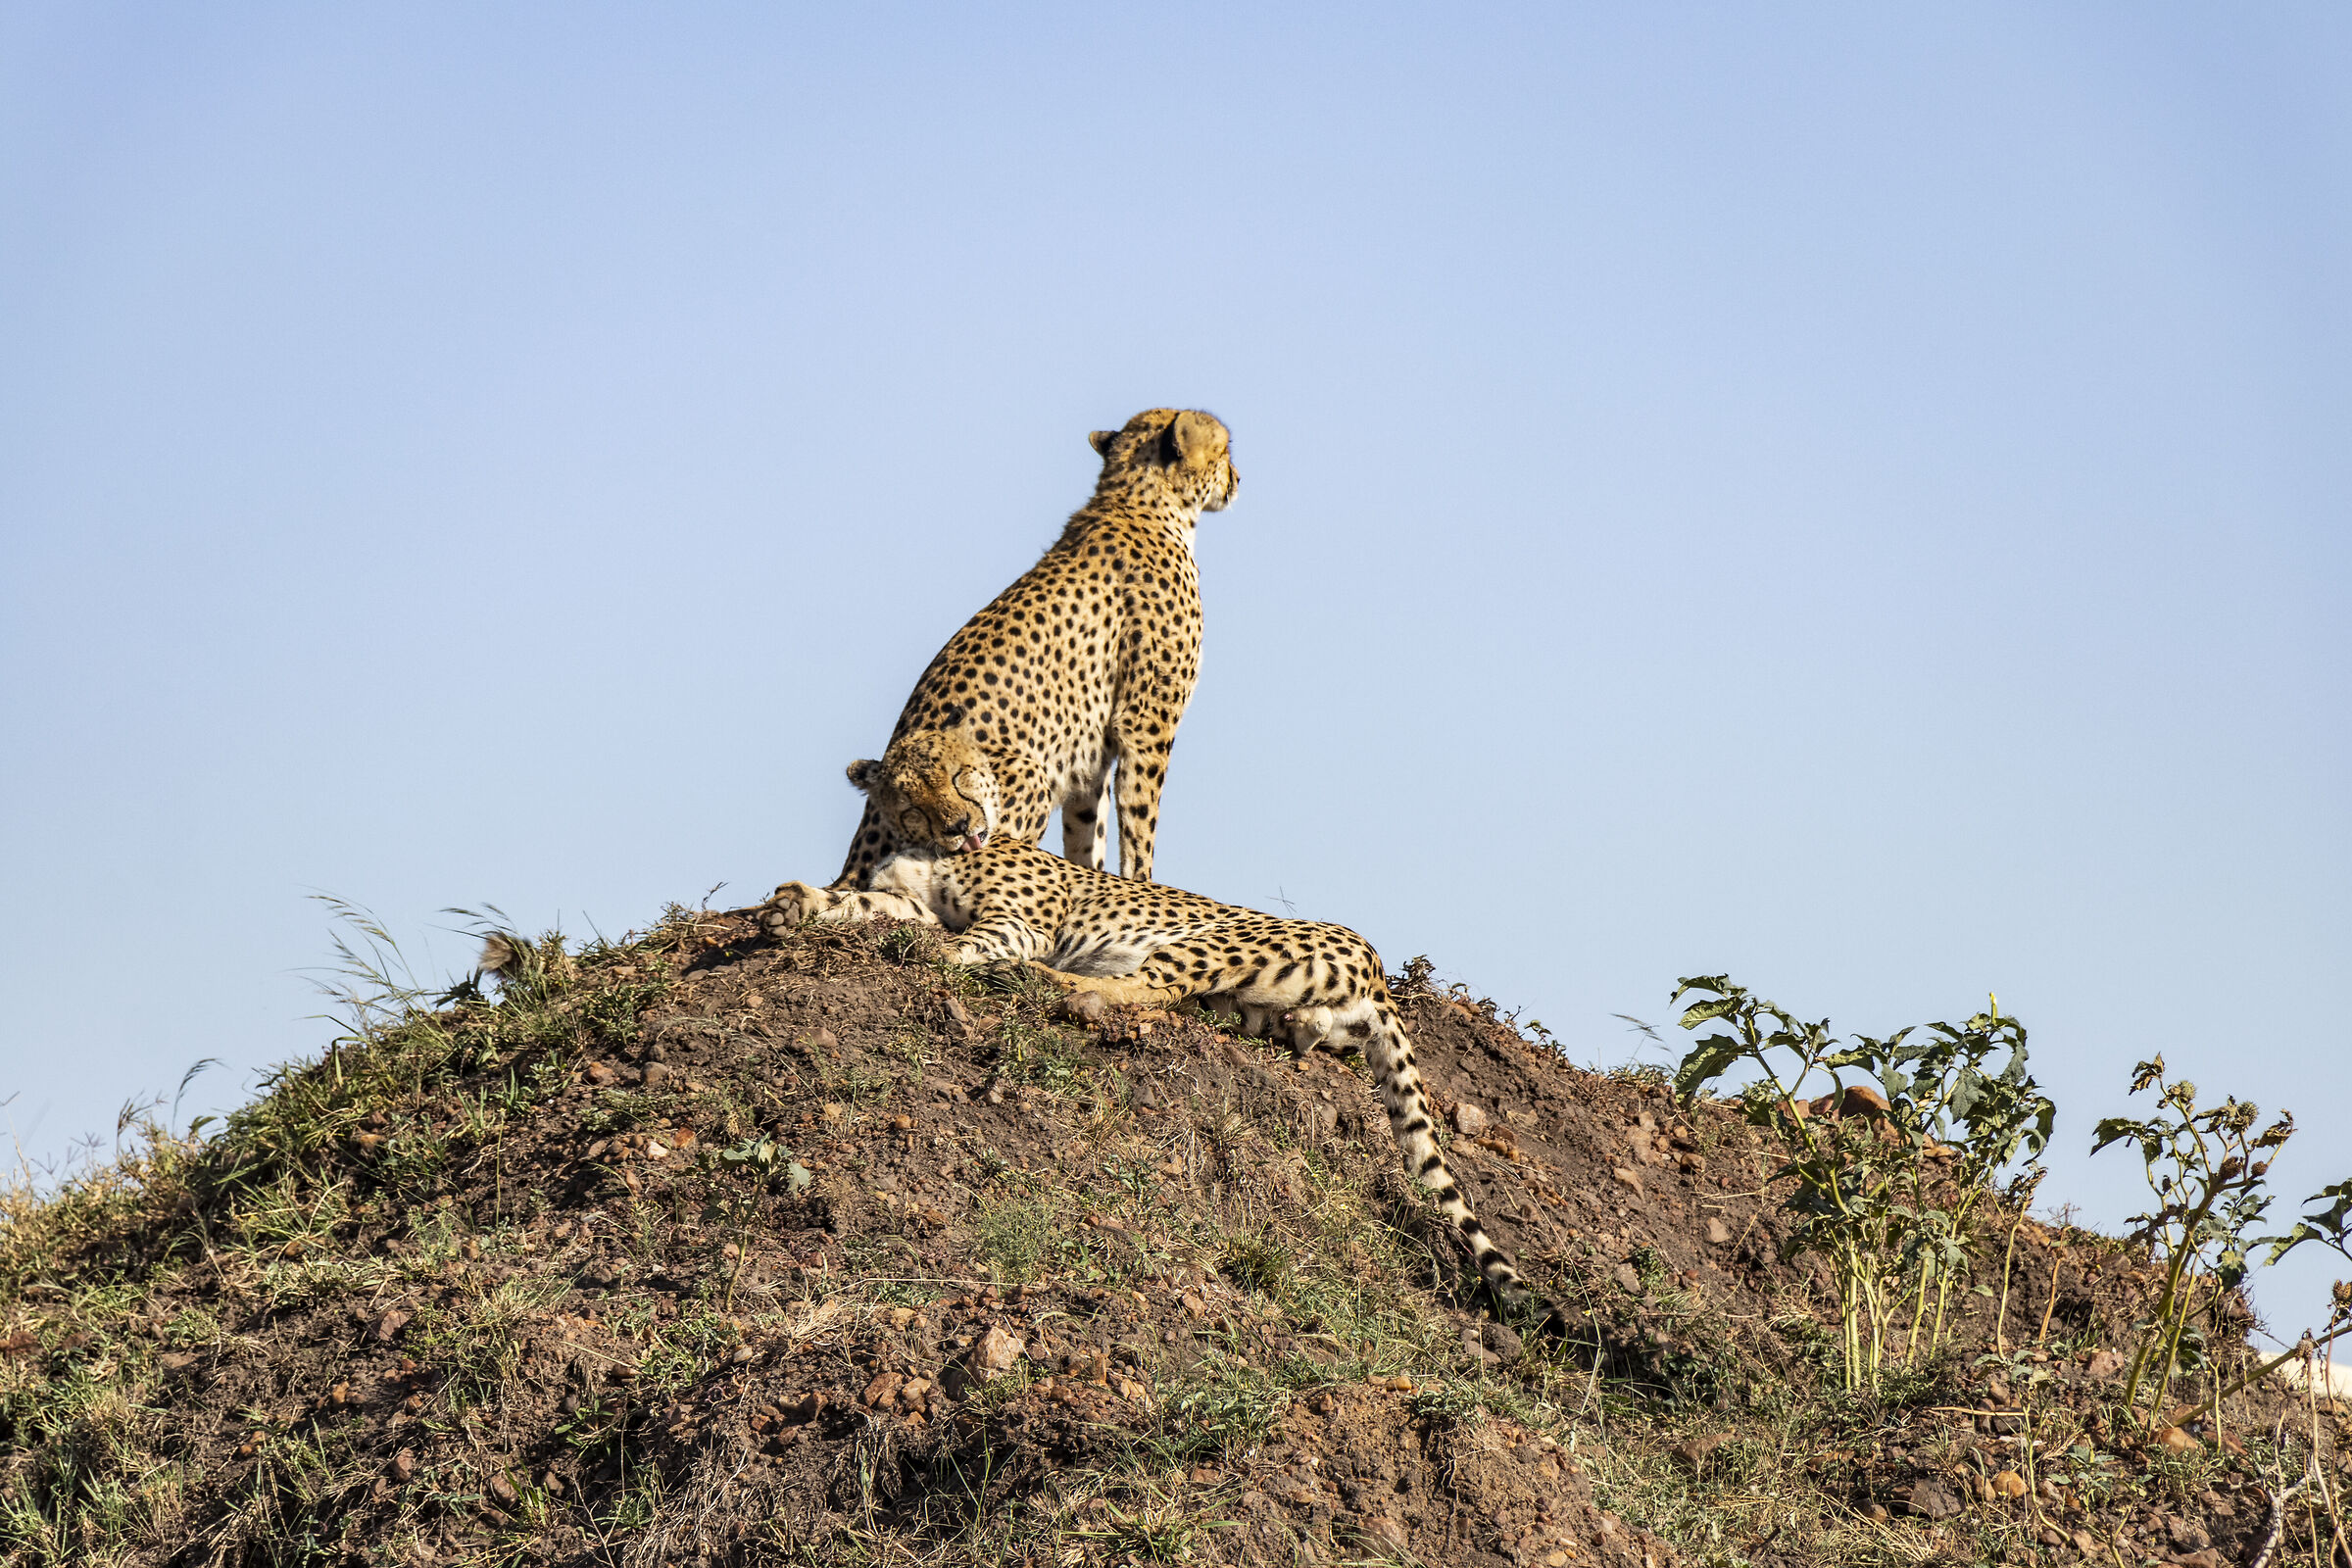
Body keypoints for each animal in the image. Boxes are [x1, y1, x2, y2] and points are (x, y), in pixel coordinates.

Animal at [760, 758, 1560, 1331]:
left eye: (959, 777)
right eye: (913, 792)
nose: (961, 824)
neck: (930, 847)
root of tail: (1376, 963)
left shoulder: (1020, 920)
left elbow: (962, 943)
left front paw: (941, 955)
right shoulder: (909, 899)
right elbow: (863, 905)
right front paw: (794, 905)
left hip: (1210, 939)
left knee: (1143, 986)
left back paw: (1061, 986)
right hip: (1260, 1003)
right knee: (1260, 1019)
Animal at [828, 407, 1237, 891]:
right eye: (1226, 450)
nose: (1237, 478)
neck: (1138, 501)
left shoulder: (1091, 751)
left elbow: (1088, 831)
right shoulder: (1145, 724)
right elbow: (1140, 821)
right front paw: (1143, 881)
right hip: (1026, 773)